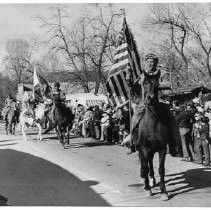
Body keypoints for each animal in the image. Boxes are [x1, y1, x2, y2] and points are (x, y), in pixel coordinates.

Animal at [137, 72, 171, 200]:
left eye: (156, 85)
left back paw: (152, 179)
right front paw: (148, 189)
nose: (149, 98)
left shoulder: (162, 148)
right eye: (145, 83)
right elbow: (145, 167)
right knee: (144, 164)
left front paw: (164, 191)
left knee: (150, 162)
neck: (153, 123)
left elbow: (161, 169)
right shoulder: (144, 148)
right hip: (142, 149)